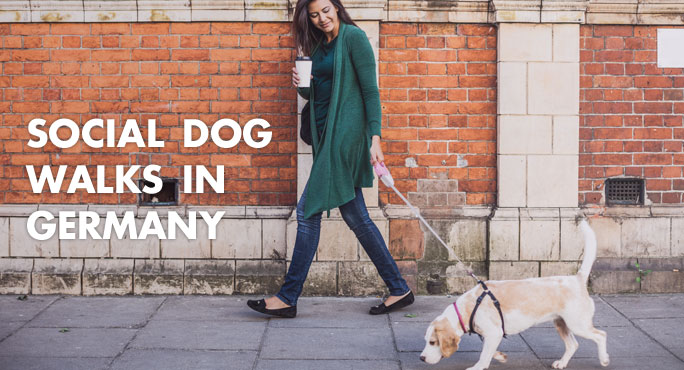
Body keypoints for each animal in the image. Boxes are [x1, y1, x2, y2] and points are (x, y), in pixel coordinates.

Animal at [422, 220, 608, 370]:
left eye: (433, 342)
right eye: (426, 340)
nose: (421, 358)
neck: (468, 307)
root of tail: (577, 279)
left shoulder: (494, 333)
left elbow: (484, 355)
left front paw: (478, 367)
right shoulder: (491, 336)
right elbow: (489, 351)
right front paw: (499, 356)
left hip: (578, 324)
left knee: (600, 336)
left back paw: (604, 359)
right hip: (562, 323)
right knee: (572, 345)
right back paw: (562, 363)